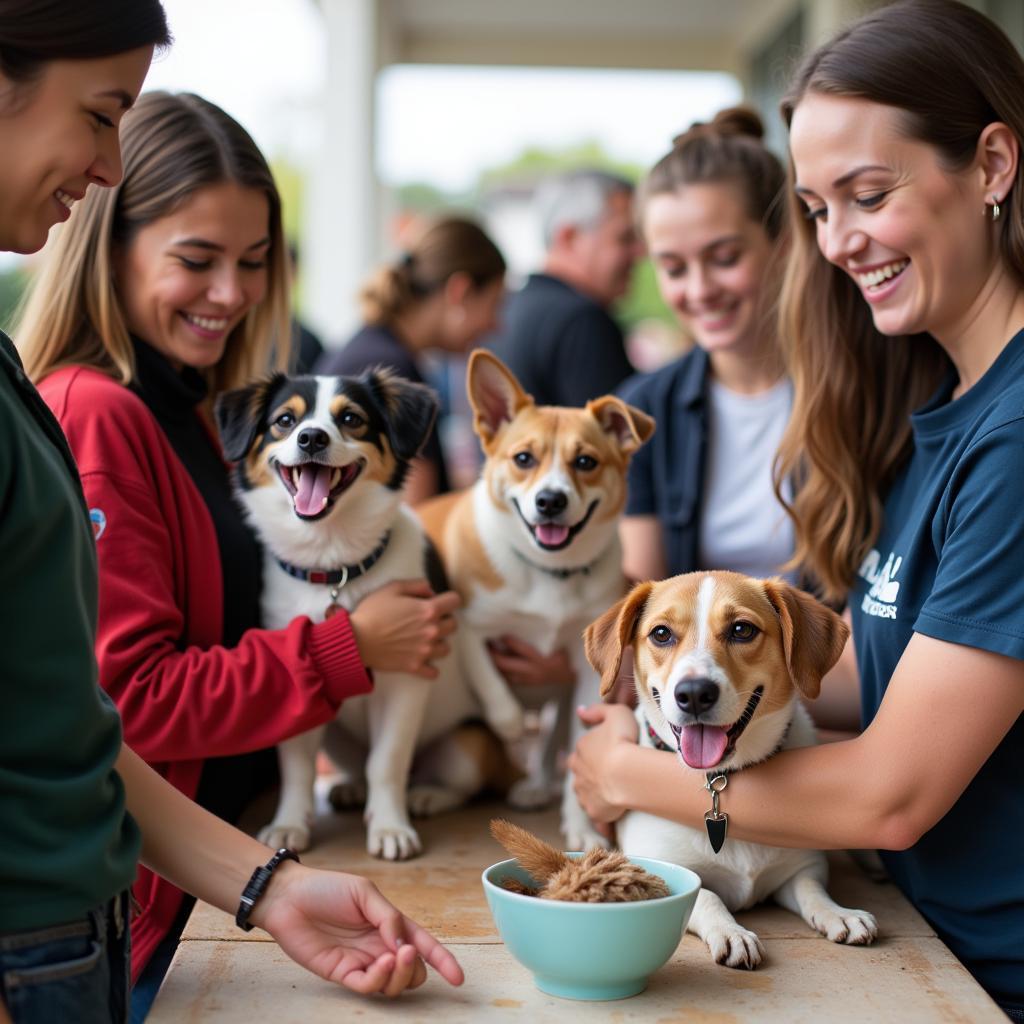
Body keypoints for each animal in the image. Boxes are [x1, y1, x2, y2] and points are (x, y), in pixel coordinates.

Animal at [417, 348, 651, 843]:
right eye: (523, 458)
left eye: (586, 462)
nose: (550, 501)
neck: (550, 572)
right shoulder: (467, 626)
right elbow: (493, 689)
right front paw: (507, 727)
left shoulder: (585, 669)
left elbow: (580, 746)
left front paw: (580, 828)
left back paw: (535, 785)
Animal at [589, 577, 876, 966]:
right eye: (661, 633)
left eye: (742, 630)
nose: (695, 693)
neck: (721, 776)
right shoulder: (666, 869)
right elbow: (707, 896)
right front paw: (732, 932)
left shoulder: (802, 865)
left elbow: (812, 890)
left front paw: (839, 913)